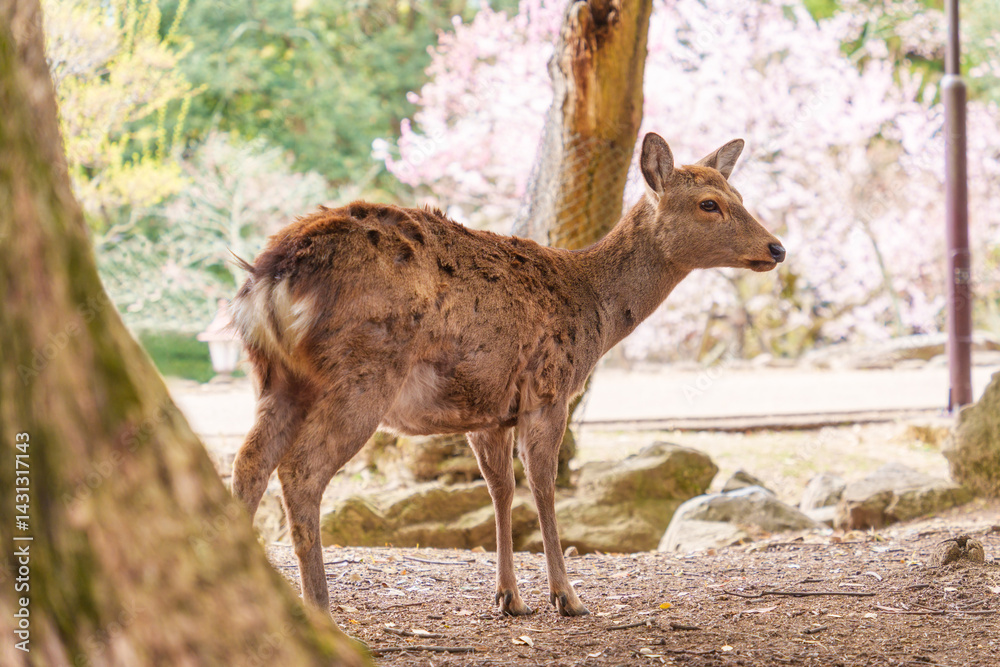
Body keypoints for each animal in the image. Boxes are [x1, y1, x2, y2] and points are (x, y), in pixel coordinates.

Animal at [228, 132, 785, 619]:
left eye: (739, 194)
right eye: (709, 203)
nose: (777, 248)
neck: (597, 312)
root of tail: (272, 274)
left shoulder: (488, 411)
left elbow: (500, 490)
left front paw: (509, 598)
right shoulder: (549, 389)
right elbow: (542, 486)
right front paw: (568, 597)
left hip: (274, 377)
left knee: (249, 461)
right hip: (361, 372)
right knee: (301, 471)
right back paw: (320, 609)